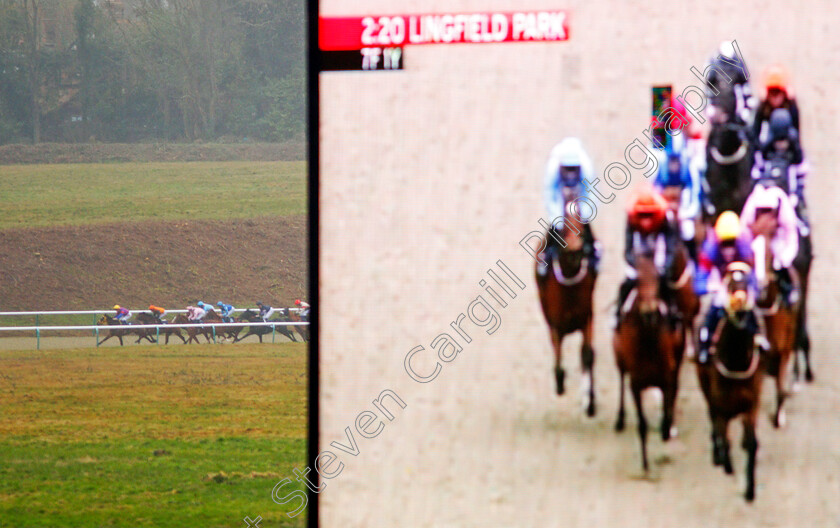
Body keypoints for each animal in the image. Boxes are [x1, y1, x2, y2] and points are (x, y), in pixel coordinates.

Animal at [540, 214, 596, 416]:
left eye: (583, 225)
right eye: (562, 229)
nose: (575, 250)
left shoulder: (587, 318)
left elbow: (587, 355)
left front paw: (589, 402)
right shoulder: (555, 326)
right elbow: (557, 363)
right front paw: (559, 383)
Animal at [612, 252, 684, 470]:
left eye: (657, 280)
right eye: (638, 280)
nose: (649, 311)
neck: (648, 341)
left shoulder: (666, 378)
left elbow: (666, 417)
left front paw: (667, 429)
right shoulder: (636, 383)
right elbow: (642, 424)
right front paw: (644, 464)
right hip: (619, 360)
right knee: (621, 379)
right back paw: (619, 419)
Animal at [692, 270, 764, 502]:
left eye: (748, 283)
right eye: (731, 283)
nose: (739, 302)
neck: (736, 360)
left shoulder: (751, 404)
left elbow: (751, 443)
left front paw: (750, 490)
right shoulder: (721, 405)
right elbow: (724, 437)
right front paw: (725, 462)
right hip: (704, 385)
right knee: (712, 417)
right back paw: (717, 454)